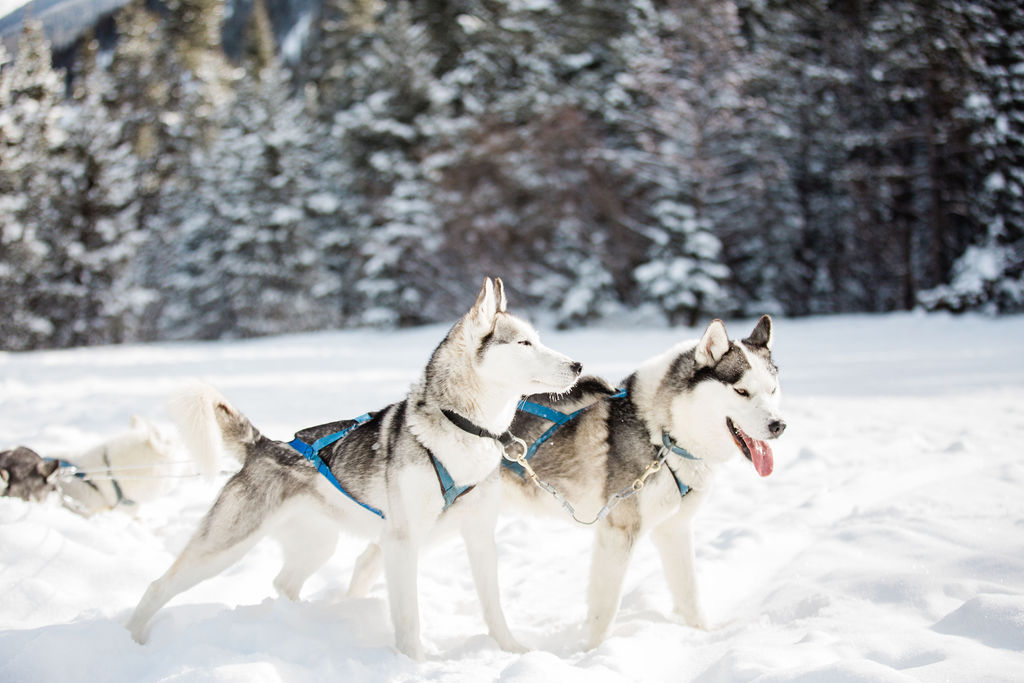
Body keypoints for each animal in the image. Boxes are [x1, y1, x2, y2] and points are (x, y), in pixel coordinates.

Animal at [125, 278, 585, 663]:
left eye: (538, 340)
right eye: (524, 342)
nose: (579, 365)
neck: (463, 428)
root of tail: (263, 445)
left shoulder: (479, 537)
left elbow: (494, 608)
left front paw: (513, 651)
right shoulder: (401, 544)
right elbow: (408, 617)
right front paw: (415, 665)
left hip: (317, 545)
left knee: (283, 584)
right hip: (226, 546)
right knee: (158, 586)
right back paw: (131, 642)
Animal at [503, 315, 782, 647]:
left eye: (773, 390)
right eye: (741, 392)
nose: (779, 425)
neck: (663, 433)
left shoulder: (674, 529)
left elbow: (689, 592)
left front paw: (702, 635)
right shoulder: (618, 533)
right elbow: (605, 609)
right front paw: (594, 652)